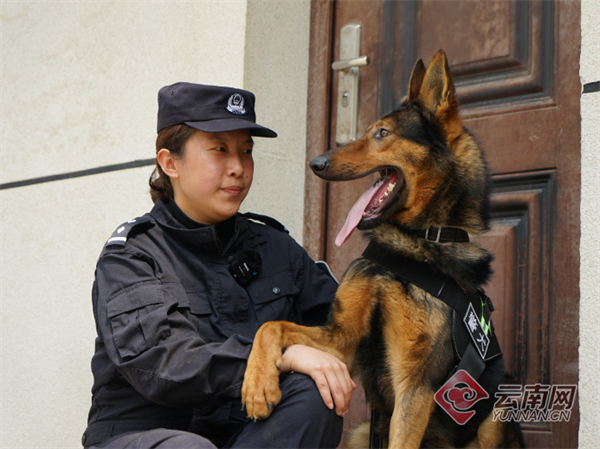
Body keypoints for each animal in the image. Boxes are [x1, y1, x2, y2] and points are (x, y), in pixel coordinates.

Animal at [241, 50, 524, 448]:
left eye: (382, 133)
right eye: (368, 131)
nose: (316, 164)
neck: (412, 244)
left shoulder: (415, 387)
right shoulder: (340, 342)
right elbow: (270, 326)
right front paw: (257, 386)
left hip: (497, 415)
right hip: (361, 431)